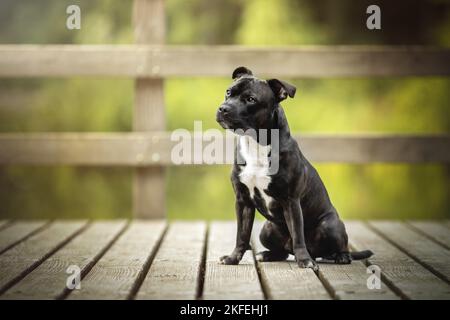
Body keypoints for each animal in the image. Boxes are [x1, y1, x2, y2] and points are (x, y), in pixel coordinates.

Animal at [215, 67, 372, 270]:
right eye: (228, 92)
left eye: (251, 99)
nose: (223, 108)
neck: (256, 144)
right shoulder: (243, 201)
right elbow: (241, 235)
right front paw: (233, 258)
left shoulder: (291, 201)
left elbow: (297, 234)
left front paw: (304, 260)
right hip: (267, 229)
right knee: (283, 251)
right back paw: (267, 255)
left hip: (329, 225)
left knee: (337, 246)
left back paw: (340, 256)